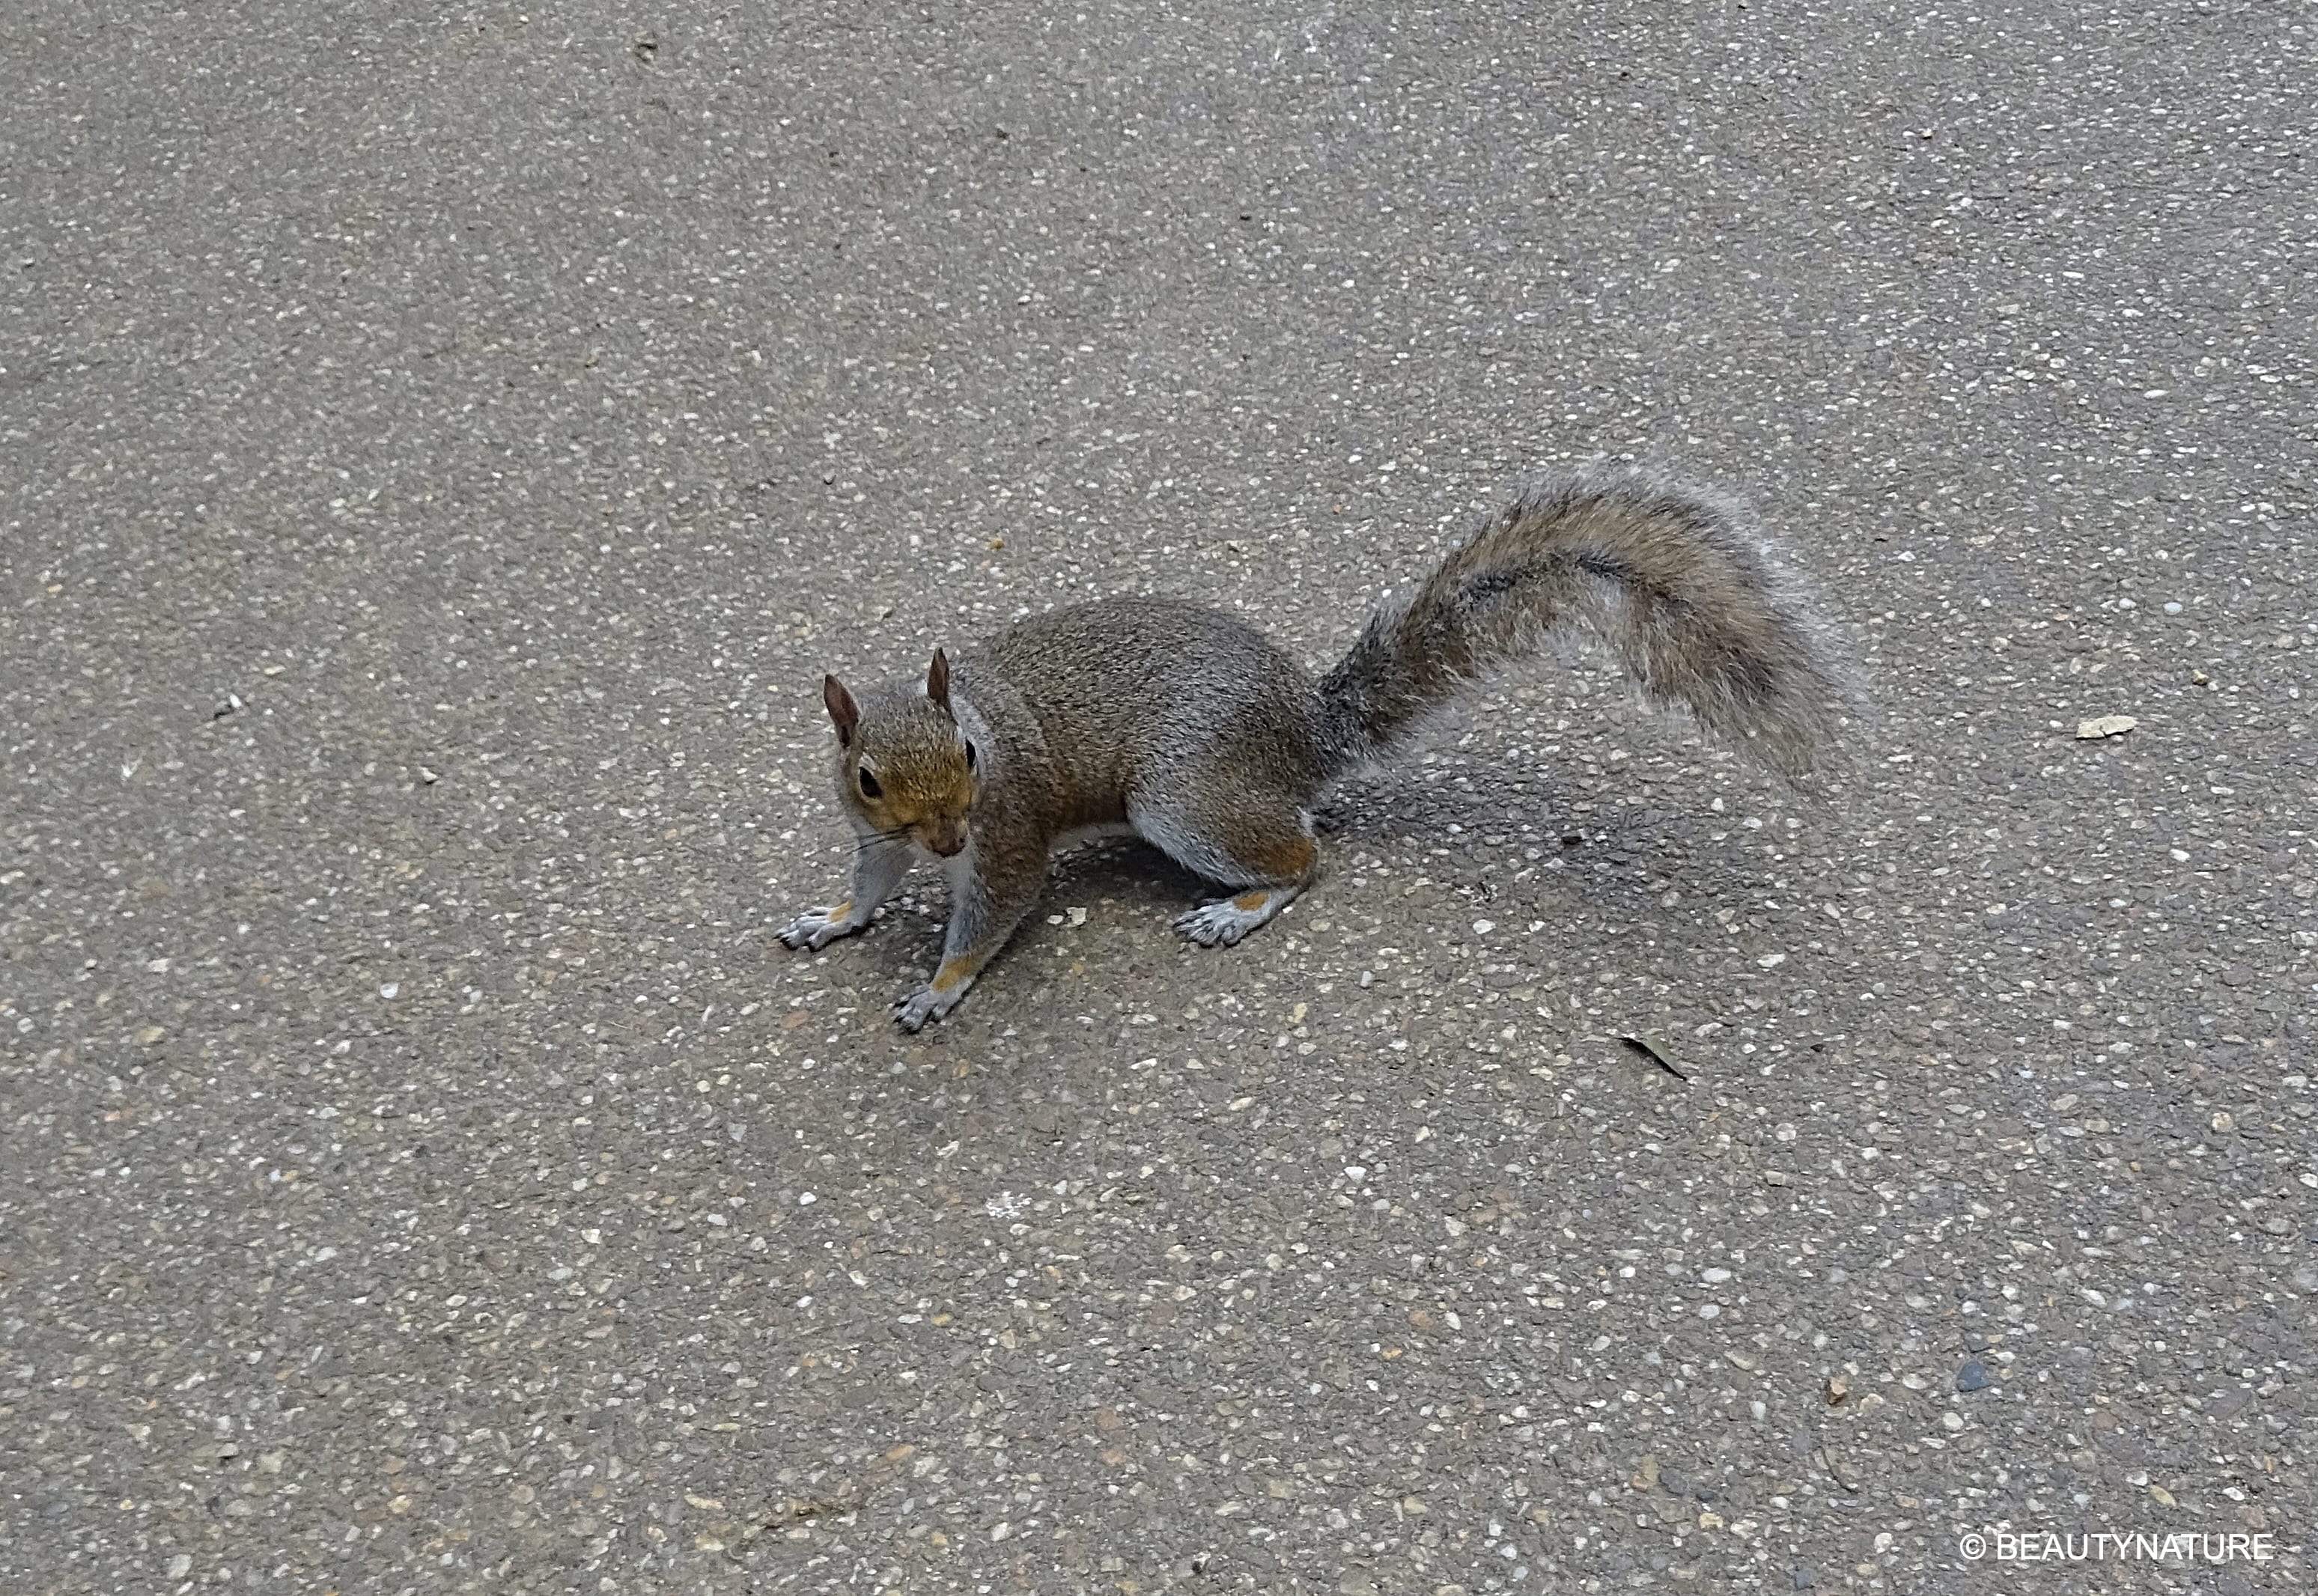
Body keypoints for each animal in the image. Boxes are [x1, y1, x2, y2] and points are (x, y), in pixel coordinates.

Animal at [781, 468, 1854, 1030]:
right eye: (867, 778)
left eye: (970, 755)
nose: (947, 841)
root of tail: (1304, 727)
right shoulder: (879, 836)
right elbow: (871, 882)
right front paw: (833, 918)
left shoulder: (1006, 830)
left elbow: (993, 912)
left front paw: (938, 988)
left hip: (1183, 797)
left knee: (1305, 856)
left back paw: (1241, 908)